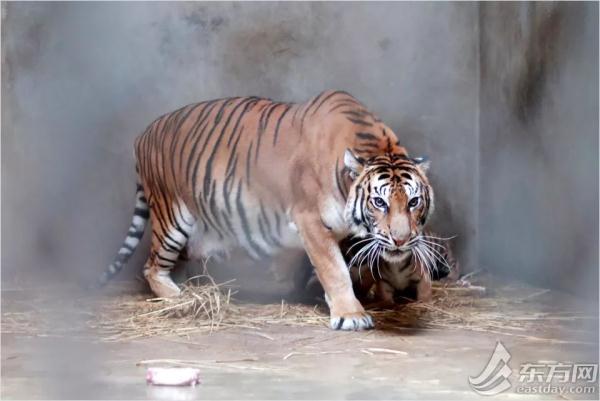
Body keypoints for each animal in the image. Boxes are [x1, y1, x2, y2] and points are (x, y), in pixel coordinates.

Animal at [101, 89, 434, 330]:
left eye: (413, 202)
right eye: (379, 202)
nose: (401, 240)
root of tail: (143, 134)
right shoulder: (310, 221)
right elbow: (335, 269)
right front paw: (350, 315)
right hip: (171, 217)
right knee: (151, 267)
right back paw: (180, 298)